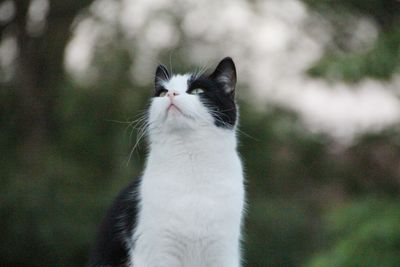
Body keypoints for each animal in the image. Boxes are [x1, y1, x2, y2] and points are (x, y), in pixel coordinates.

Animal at [86, 57, 245, 267]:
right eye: (162, 93)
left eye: (198, 91)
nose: (170, 94)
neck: (190, 163)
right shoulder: (157, 253)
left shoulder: (223, 253)